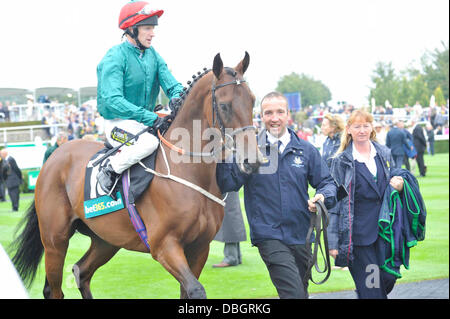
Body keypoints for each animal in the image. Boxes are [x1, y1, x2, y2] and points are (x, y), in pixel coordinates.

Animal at [10, 52, 264, 300]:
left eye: (252, 100)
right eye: (224, 105)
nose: (252, 160)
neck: (188, 173)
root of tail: (54, 157)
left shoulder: (200, 247)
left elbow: (187, 290)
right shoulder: (164, 245)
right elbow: (196, 289)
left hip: (106, 240)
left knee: (82, 272)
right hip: (55, 240)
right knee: (54, 290)